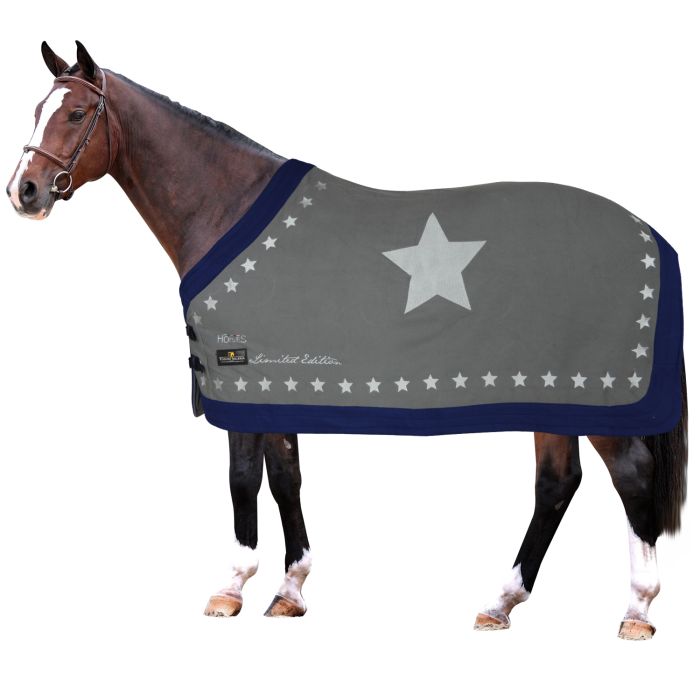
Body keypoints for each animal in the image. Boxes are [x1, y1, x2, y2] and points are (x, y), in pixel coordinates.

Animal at [6, 41, 688, 640]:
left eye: (75, 112)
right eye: (39, 109)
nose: (24, 191)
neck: (226, 206)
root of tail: (648, 235)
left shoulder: (241, 382)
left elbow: (242, 480)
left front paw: (232, 587)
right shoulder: (278, 386)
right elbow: (285, 477)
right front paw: (289, 591)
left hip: (595, 392)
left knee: (629, 475)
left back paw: (637, 610)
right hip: (551, 392)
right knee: (557, 484)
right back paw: (500, 603)